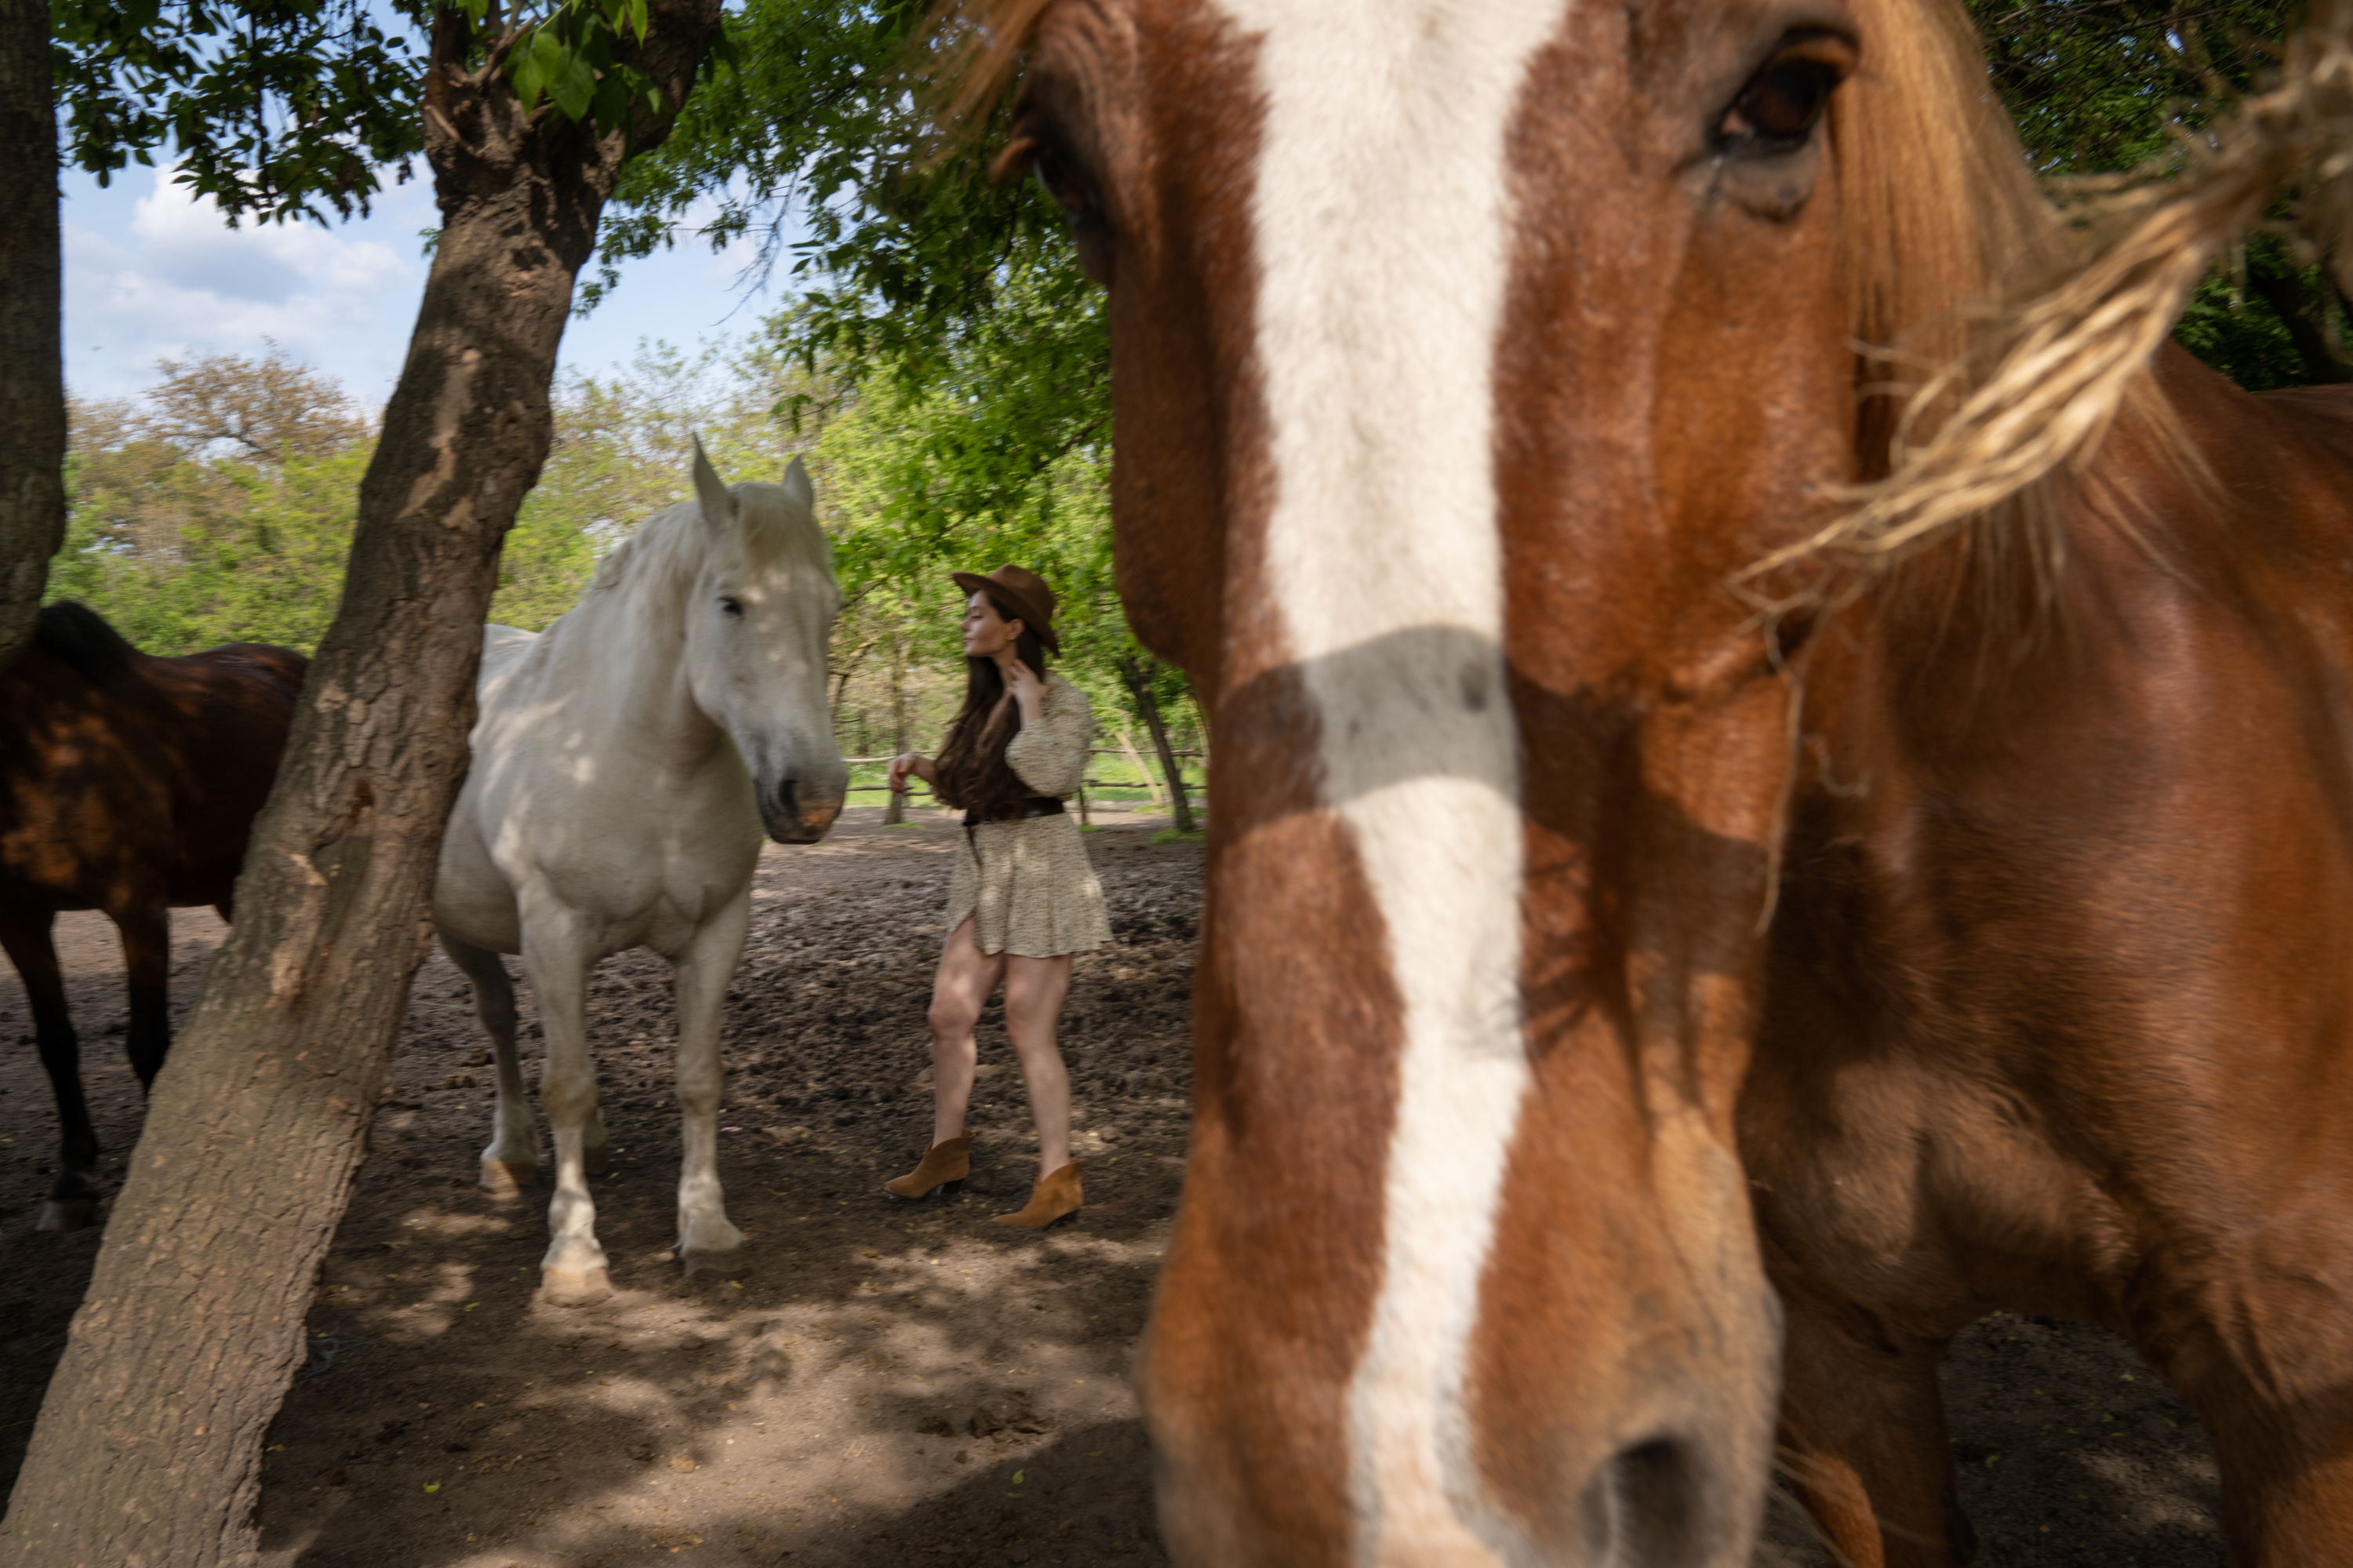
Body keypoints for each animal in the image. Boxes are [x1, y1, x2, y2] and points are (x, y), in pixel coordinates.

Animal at [0, 601, 305, 1231]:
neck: (45, 746)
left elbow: (146, 1043)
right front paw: (73, 1179)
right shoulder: (19, 918)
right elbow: (55, 1045)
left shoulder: (136, 907)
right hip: (232, 887)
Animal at [432, 444, 847, 1301]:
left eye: (832, 606)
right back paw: (513, 1153)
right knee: (501, 1024)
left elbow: (698, 1077)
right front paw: (574, 1251)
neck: (647, 762)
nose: (815, 798)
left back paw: (588, 1145)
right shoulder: (554, 929)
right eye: (730, 604)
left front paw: (707, 1227)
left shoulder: (718, 930)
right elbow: (565, 1081)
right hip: (465, 934)